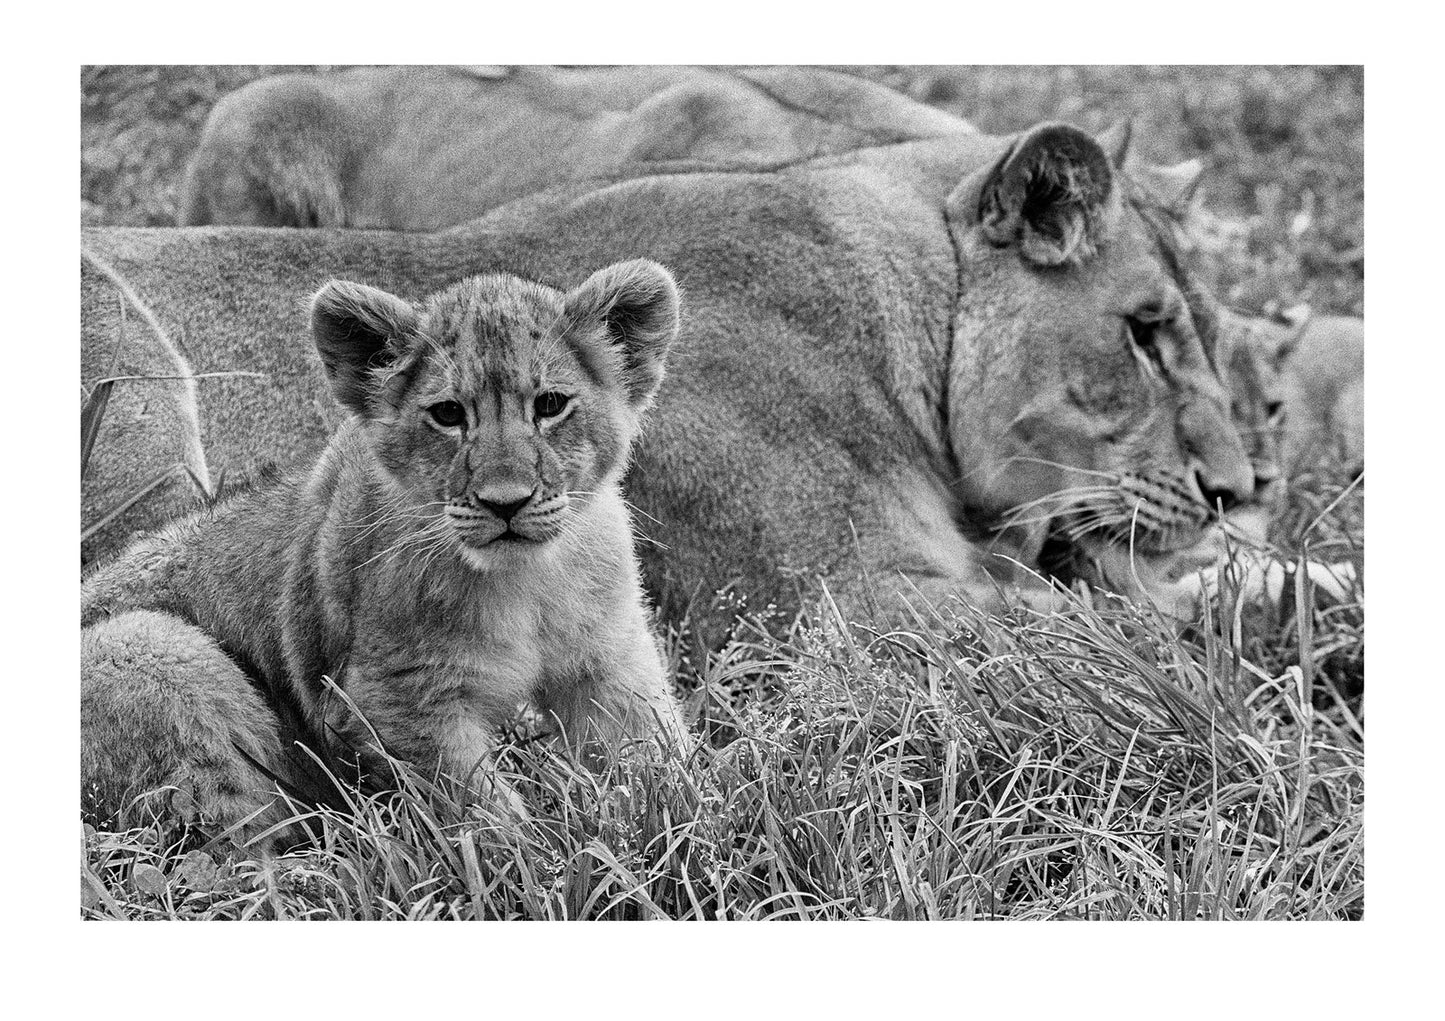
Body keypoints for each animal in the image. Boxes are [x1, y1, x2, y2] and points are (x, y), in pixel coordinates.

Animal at [81, 260, 689, 840]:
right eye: (449, 414)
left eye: (551, 405)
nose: (505, 503)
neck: (528, 582)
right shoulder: (390, 700)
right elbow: (480, 813)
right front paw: (543, 861)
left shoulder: (610, 660)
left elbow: (658, 758)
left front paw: (678, 829)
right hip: (149, 648)